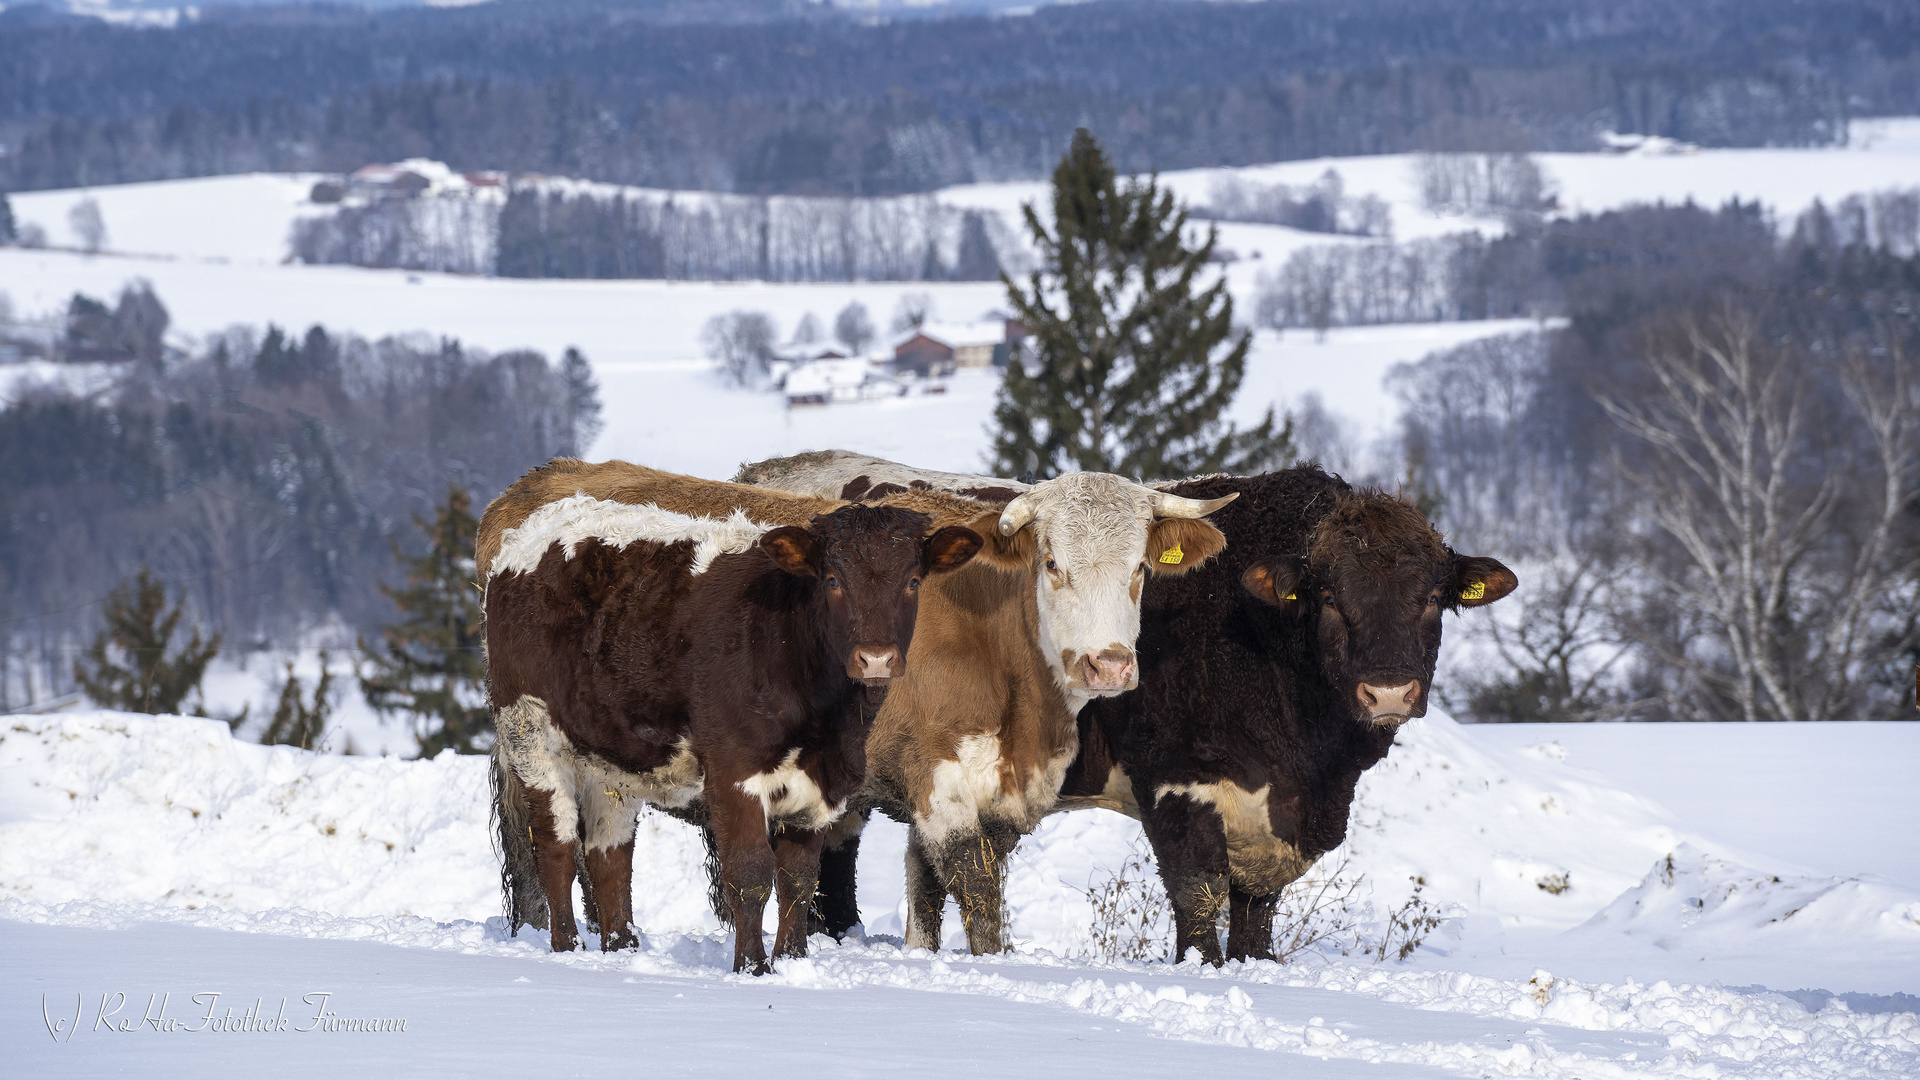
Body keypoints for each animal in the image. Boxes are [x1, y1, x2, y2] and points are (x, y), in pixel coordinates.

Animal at [480, 457, 990, 972]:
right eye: (832, 580)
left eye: (912, 580)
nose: (877, 658)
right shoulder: (733, 770)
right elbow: (749, 872)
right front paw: (753, 966)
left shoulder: (822, 782)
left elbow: (799, 880)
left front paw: (793, 961)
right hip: (530, 734)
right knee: (556, 846)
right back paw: (568, 946)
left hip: (611, 759)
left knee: (609, 855)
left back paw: (622, 948)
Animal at [733, 449, 1228, 945]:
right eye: (1052, 563)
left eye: (1140, 567)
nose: (1108, 665)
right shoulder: (929, 765)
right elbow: (975, 883)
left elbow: (928, 886)